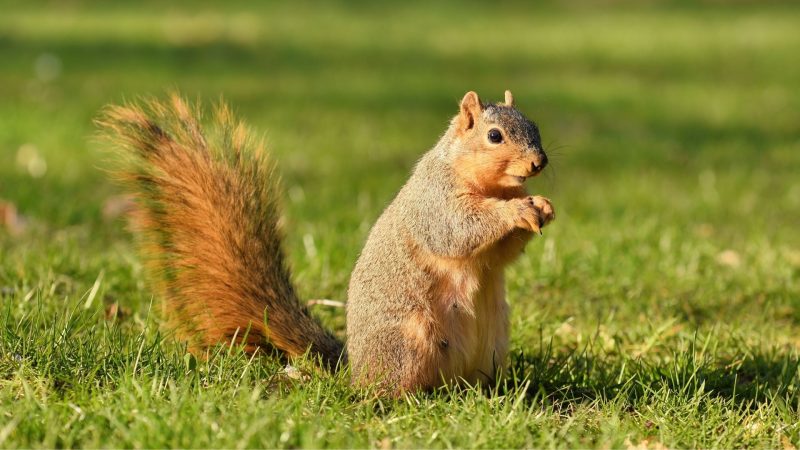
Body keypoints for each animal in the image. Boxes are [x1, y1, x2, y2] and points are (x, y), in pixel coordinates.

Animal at [98, 89, 552, 394]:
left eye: (535, 126)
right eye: (494, 136)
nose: (539, 162)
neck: (490, 184)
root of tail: (355, 369)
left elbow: (500, 255)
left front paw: (543, 206)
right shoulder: (434, 199)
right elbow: (458, 230)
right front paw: (516, 211)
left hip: (492, 342)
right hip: (407, 341)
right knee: (386, 391)